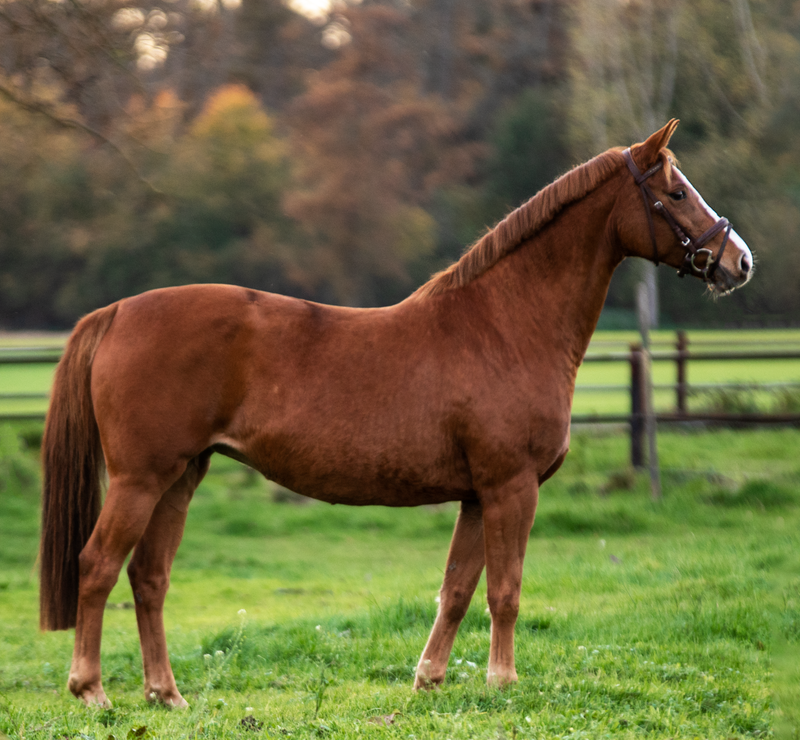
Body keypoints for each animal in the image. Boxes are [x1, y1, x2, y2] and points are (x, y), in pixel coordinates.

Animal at [39, 120, 753, 708]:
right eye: (677, 193)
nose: (738, 261)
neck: (504, 324)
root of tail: (117, 312)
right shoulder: (511, 487)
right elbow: (505, 590)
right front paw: (503, 682)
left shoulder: (477, 495)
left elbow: (458, 588)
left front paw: (430, 679)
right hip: (140, 479)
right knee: (97, 566)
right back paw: (91, 691)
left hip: (181, 477)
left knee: (148, 577)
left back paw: (166, 695)